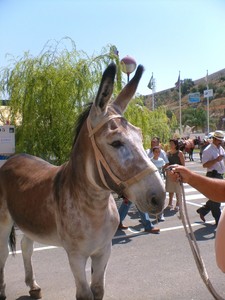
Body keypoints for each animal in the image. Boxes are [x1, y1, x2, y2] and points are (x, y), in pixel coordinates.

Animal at [0, 63, 165, 300]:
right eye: (116, 143)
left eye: (140, 136)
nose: (159, 197)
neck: (93, 206)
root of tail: (14, 157)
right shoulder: (75, 256)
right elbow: (85, 294)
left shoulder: (104, 251)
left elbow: (98, 289)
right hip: (4, 220)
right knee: (3, 252)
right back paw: (3, 289)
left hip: (28, 219)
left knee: (26, 246)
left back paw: (33, 285)